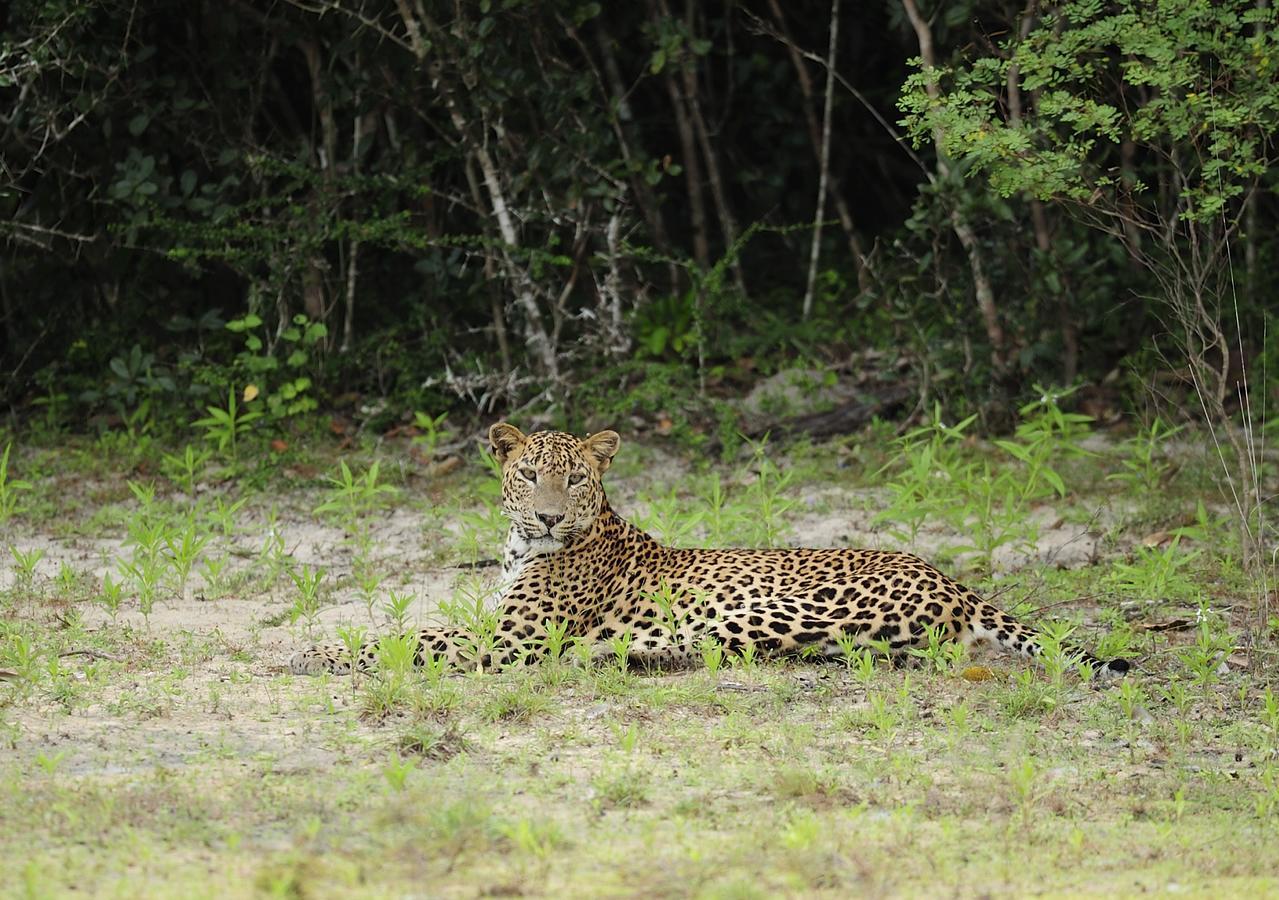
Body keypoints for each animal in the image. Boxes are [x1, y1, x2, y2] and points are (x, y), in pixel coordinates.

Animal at [287, 421, 1130, 675]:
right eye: (528, 476)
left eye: (574, 479)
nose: (551, 518)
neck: (520, 546)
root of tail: (949, 579)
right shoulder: (499, 627)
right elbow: (418, 629)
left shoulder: (515, 642)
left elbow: (416, 638)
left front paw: (317, 652)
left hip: (759, 609)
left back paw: (623, 654)